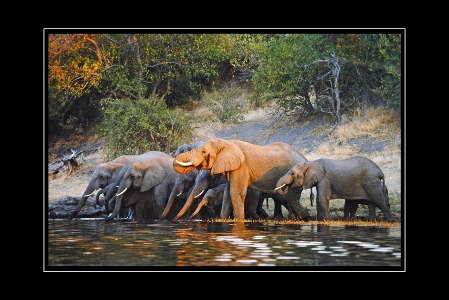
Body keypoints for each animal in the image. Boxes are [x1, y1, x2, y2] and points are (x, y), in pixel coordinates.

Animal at [172, 138, 312, 220]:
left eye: (204, 151)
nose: (175, 220)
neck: (227, 143)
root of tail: (305, 159)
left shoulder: (241, 168)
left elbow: (236, 194)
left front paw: (239, 223)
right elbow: (227, 195)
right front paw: (223, 221)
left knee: (290, 198)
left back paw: (305, 218)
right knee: (289, 199)